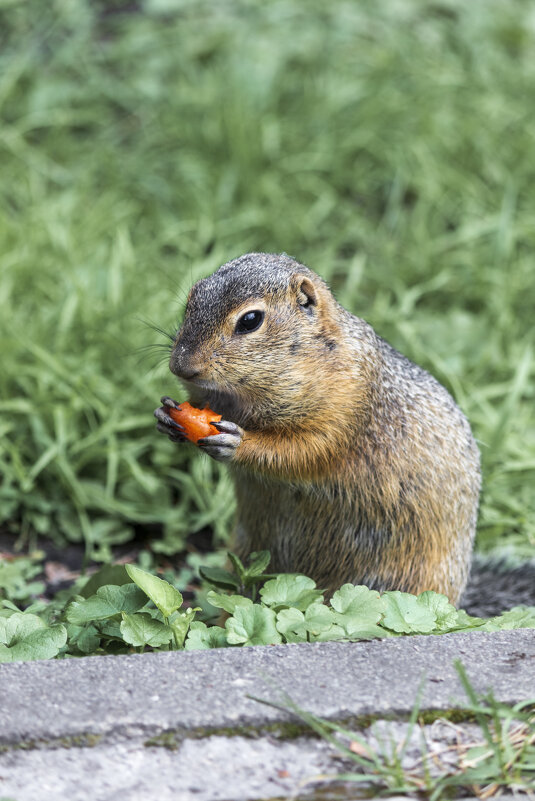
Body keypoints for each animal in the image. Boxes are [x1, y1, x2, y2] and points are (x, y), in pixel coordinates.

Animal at [155, 250, 482, 600]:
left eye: (250, 320)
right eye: (191, 300)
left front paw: (238, 444)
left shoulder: (345, 409)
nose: (181, 366)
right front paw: (166, 416)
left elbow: (304, 452)